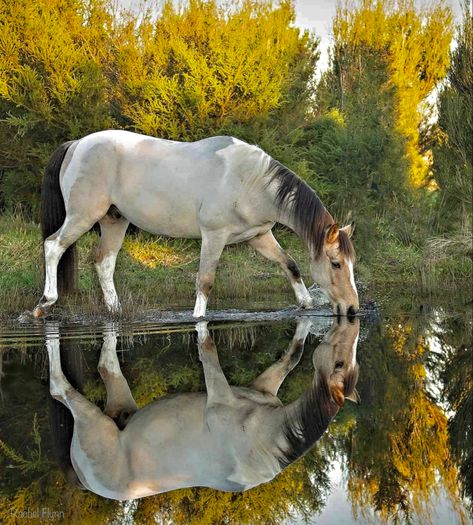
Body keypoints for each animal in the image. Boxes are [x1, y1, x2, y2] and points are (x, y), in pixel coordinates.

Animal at [34, 132, 358, 320]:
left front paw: (306, 303)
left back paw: (116, 311)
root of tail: (76, 145)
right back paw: (45, 303)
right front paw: (198, 318)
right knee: (53, 246)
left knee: (104, 262)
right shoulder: (214, 236)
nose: (353, 309)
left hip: (114, 221)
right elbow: (205, 280)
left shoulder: (258, 236)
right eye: (336, 263)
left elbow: (289, 263)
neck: (251, 180)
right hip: (82, 216)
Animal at [47, 316, 358, 500]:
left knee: (106, 367)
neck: (262, 439)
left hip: (118, 406)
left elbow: (292, 357)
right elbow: (207, 349)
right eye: (340, 363)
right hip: (92, 422)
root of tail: (87, 482)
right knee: (58, 390)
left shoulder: (261, 388)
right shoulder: (220, 395)